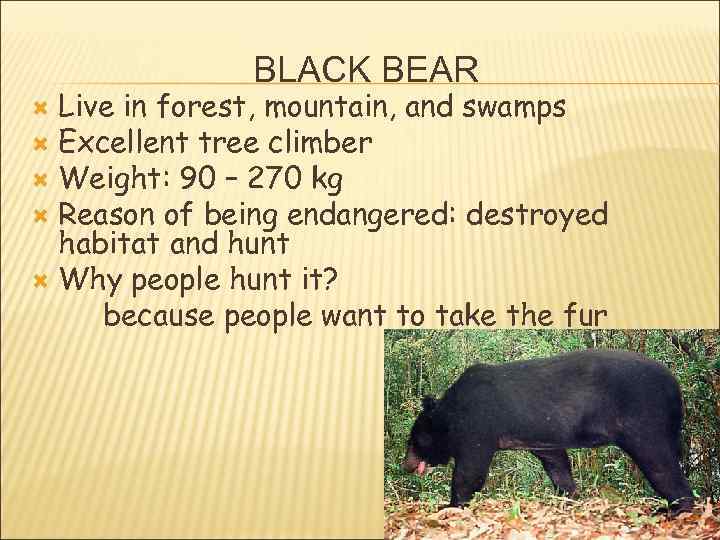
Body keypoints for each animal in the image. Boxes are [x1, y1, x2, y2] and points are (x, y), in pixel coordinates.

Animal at [401, 349, 695, 515]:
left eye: (413, 441)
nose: (406, 465)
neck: (450, 413)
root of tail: (676, 386)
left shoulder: (478, 424)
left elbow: (470, 469)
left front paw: (450, 505)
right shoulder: (541, 434)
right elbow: (555, 461)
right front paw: (570, 495)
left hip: (642, 416)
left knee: (659, 461)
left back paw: (674, 508)